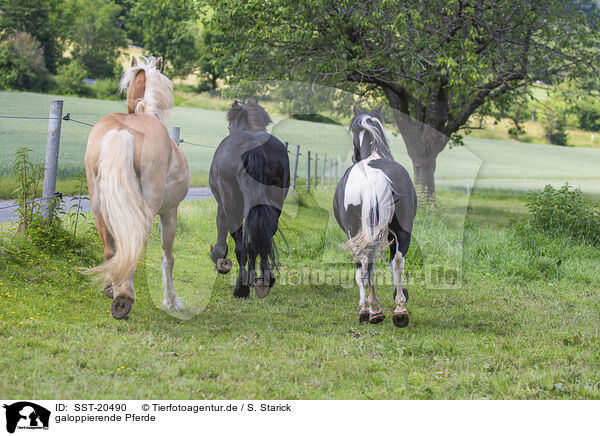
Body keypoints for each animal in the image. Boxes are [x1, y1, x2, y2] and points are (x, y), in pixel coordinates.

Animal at [83, 56, 189, 318]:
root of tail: (122, 132)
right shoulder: (170, 212)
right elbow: (168, 257)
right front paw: (171, 302)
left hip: (98, 206)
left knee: (112, 250)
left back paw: (113, 288)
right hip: (147, 210)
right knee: (133, 247)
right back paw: (124, 298)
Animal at [210, 100, 290, 298]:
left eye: (229, 125)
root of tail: (254, 145)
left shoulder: (221, 204)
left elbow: (221, 226)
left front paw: (219, 258)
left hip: (232, 204)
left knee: (242, 247)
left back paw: (241, 288)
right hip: (275, 205)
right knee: (261, 241)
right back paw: (264, 281)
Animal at [332, 106, 418, 328]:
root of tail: (375, 179)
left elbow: (360, 272)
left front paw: (365, 307)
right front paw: (400, 295)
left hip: (357, 232)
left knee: (365, 264)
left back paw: (371, 309)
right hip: (402, 231)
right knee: (397, 261)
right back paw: (399, 310)